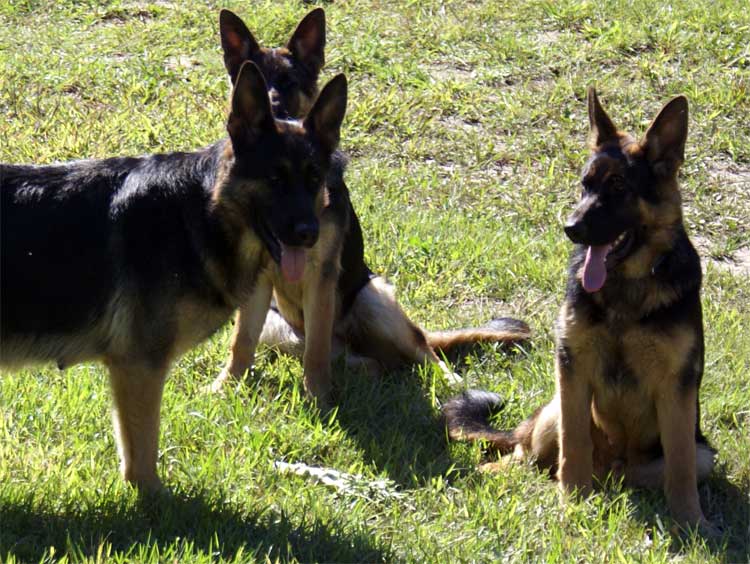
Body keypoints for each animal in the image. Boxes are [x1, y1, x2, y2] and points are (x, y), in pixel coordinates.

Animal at [0, 62, 350, 490]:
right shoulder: (139, 366)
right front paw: (154, 503)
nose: (310, 234)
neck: (198, 212)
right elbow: (143, 457)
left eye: (314, 178)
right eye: (276, 178)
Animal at [209, 8, 532, 400]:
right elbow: (242, 340)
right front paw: (226, 385)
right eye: (254, 75)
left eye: (289, 81)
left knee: (421, 348)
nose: (269, 110)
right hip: (279, 328)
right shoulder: (257, 284)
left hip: (374, 297)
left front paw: (318, 397)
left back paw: (448, 382)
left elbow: (316, 348)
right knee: (359, 359)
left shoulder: (322, 276)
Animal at [446, 88, 716, 532]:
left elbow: (680, 465)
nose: (570, 229)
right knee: (527, 455)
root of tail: (611, 472)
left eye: (619, 186)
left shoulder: (676, 389)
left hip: (702, 455)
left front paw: (690, 520)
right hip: (554, 407)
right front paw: (571, 502)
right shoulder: (572, 367)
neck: (626, 286)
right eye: (584, 186)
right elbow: (573, 445)